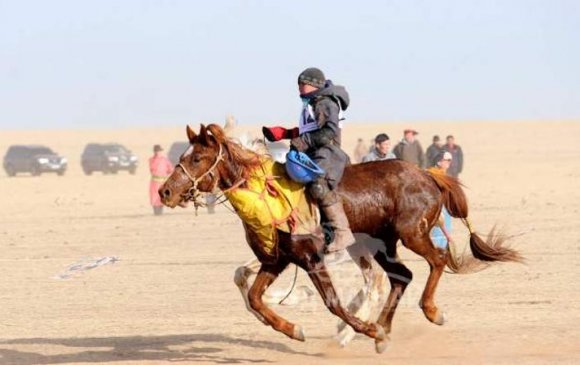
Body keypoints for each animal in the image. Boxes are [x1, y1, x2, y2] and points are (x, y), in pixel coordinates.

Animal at [159, 123, 520, 352]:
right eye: (183, 156)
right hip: (380, 245)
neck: (267, 194)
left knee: (434, 261)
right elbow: (254, 295)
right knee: (399, 277)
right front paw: (292, 328)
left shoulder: (311, 258)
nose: (165, 192)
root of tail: (429, 175)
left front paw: (360, 328)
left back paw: (426, 313)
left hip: (411, 235)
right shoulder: (276, 260)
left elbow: (331, 302)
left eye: (196, 158)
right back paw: (382, 332)